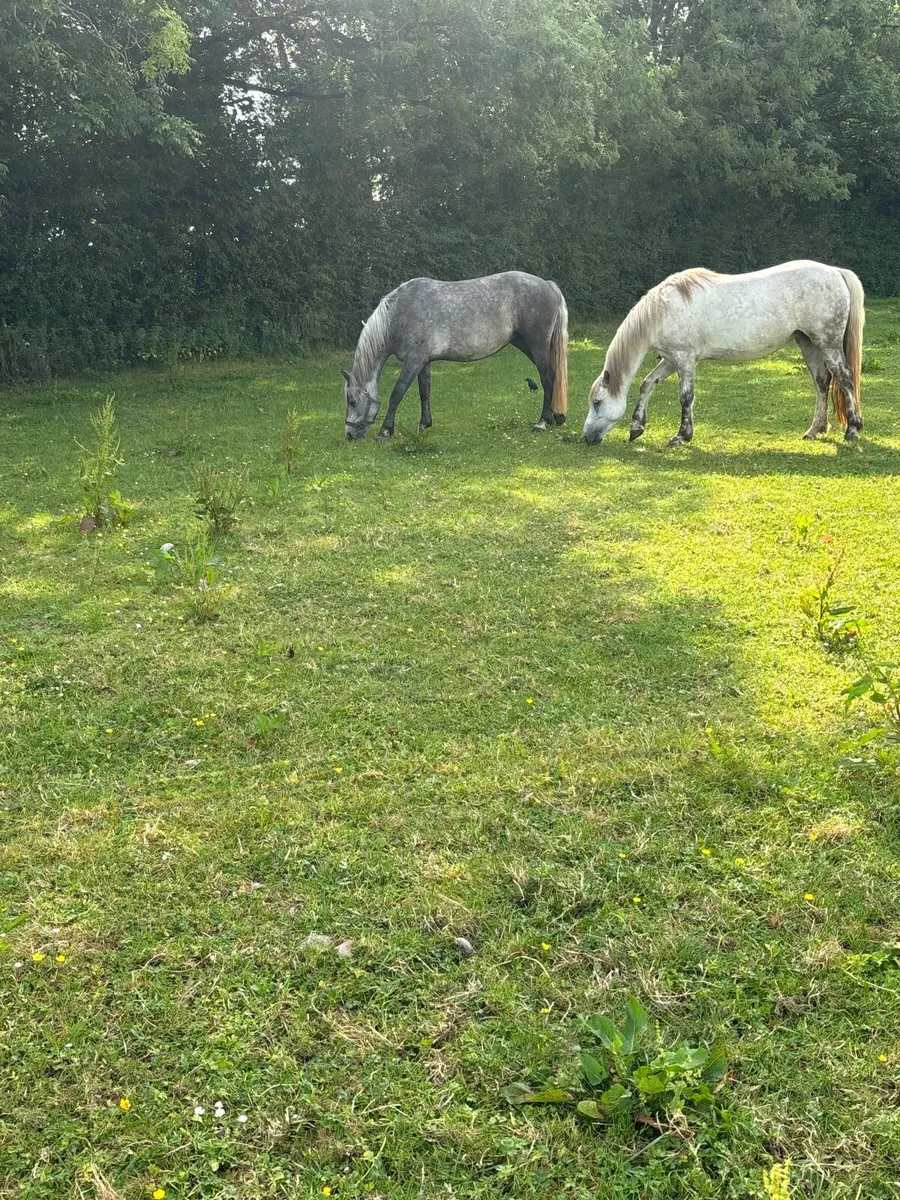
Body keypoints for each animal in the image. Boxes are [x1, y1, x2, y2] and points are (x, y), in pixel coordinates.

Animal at [341, 271, 568, 440]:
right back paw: (556, 417)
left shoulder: (413, 361)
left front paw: (385, 431)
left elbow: (397, 393)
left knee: (548, 378)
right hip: (524, 343)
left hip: (537, 344)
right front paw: (424, 425)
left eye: (351, 401)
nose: (349, 435)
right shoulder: (423, 362)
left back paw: (542, 422)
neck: (398, 314)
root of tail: (547, 285)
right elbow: (424, 392)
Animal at [582, 260, 865, 447]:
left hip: (827, 343)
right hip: (808, 343)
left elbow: (686, 397)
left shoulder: (685, 359)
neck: (662, 310)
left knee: (845, 378)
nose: (587, 437)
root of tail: (836, 272)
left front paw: (681, 436)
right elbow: (647, 384)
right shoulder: (671, 360)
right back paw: (816, 429)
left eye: (597, 402)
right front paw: (636, 427)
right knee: (822, 382)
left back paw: (852, 430)